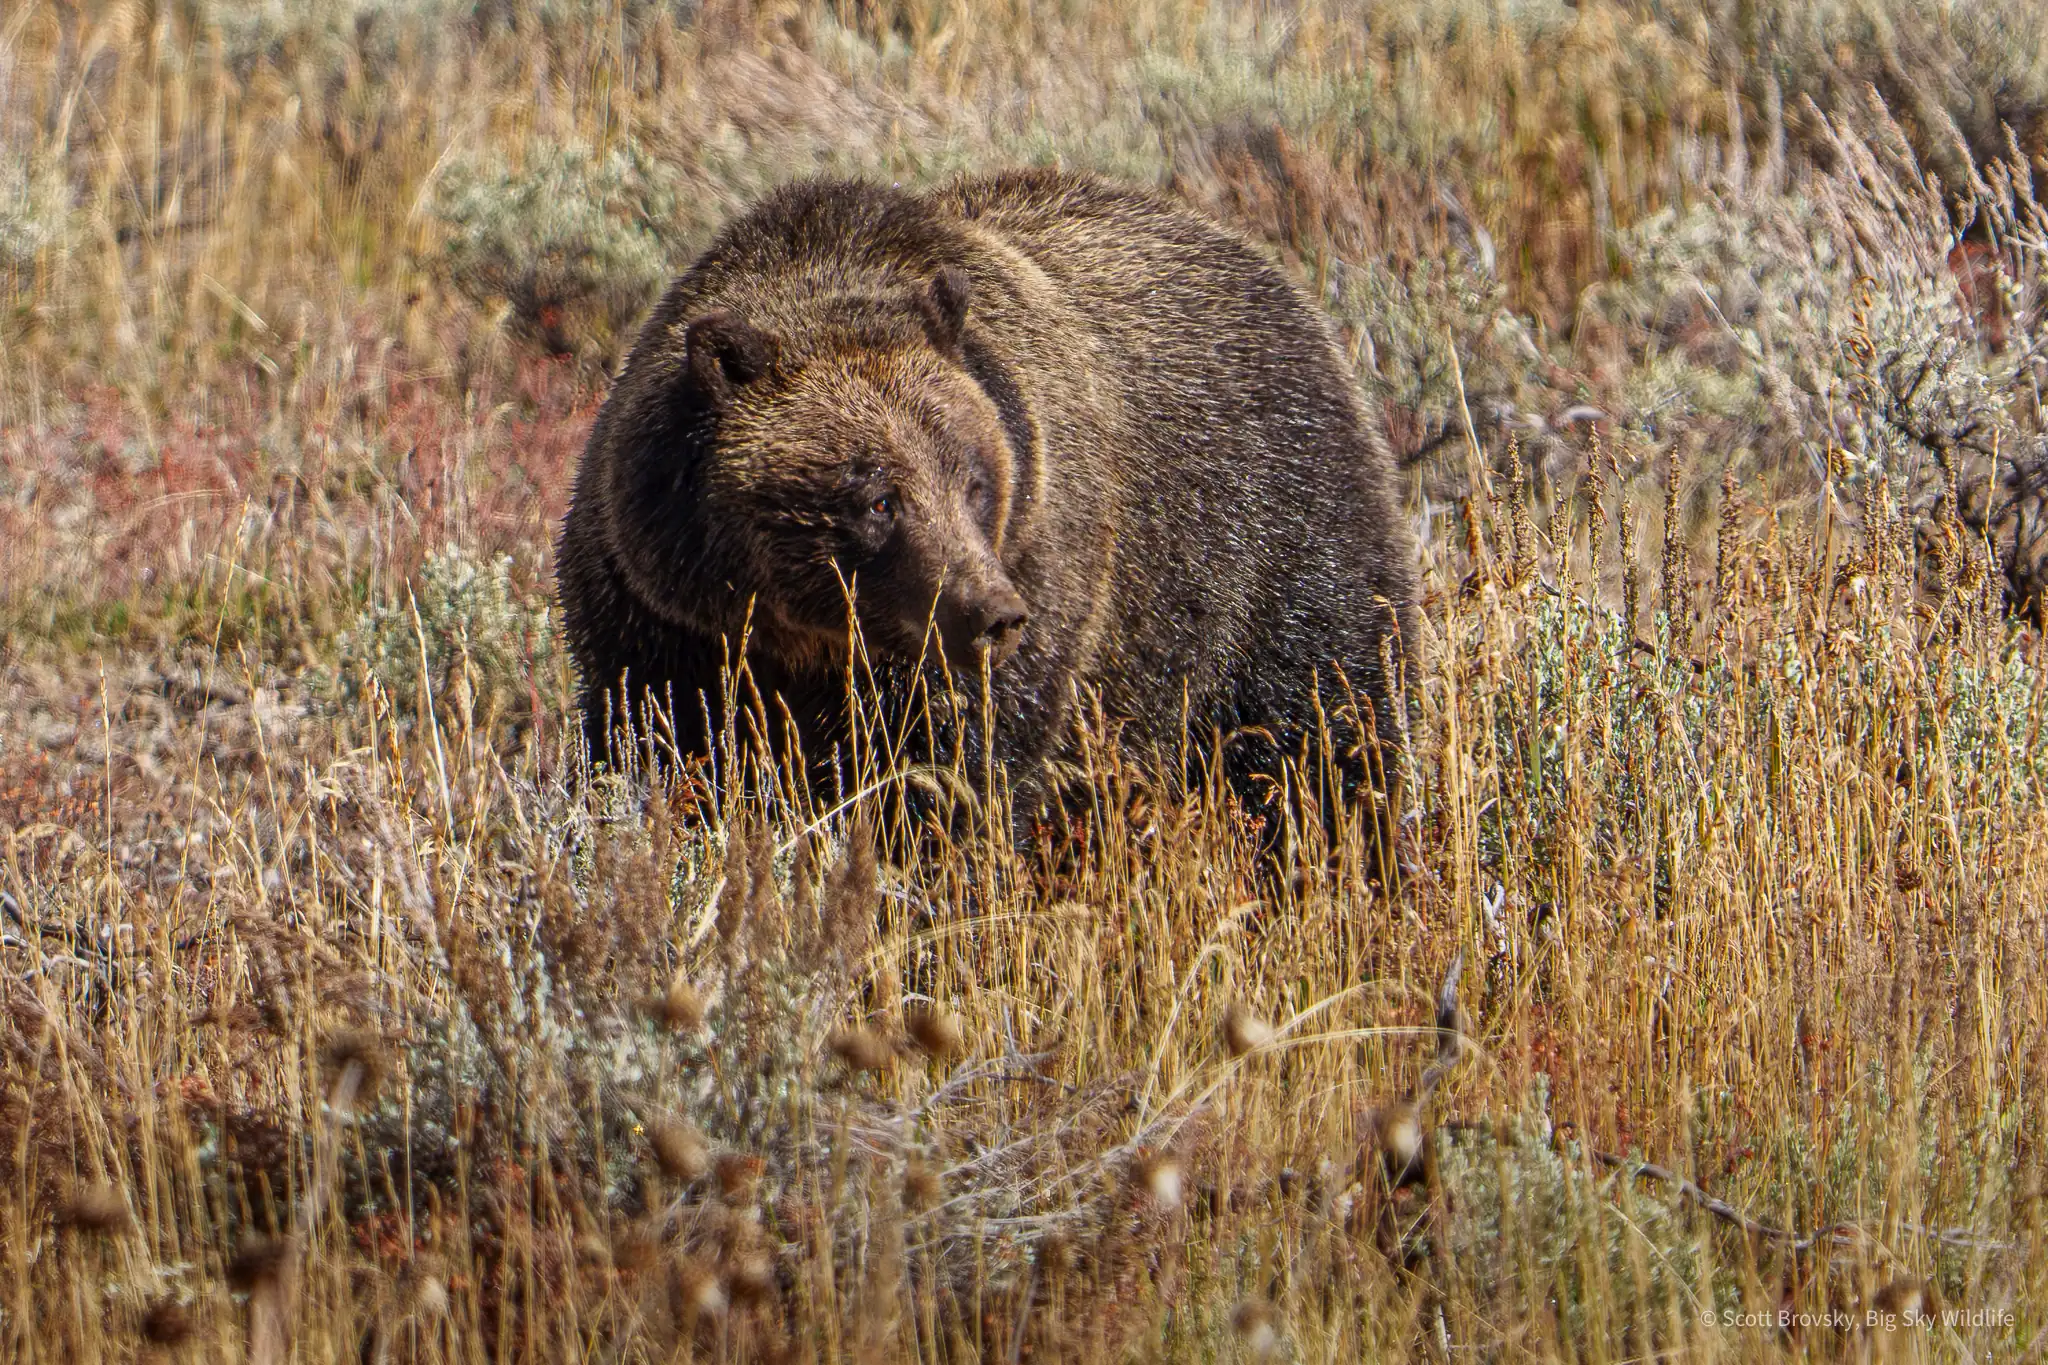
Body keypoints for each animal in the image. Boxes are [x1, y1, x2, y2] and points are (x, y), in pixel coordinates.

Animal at [555, 168, 1419, 863]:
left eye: (974, 481)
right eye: (878, 498)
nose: (994, 613)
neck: (806, 640)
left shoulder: (1041, 568)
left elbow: (956, 772)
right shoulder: (657, 618)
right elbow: (656, 749)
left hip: (1275, 534)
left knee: (1329, 720)